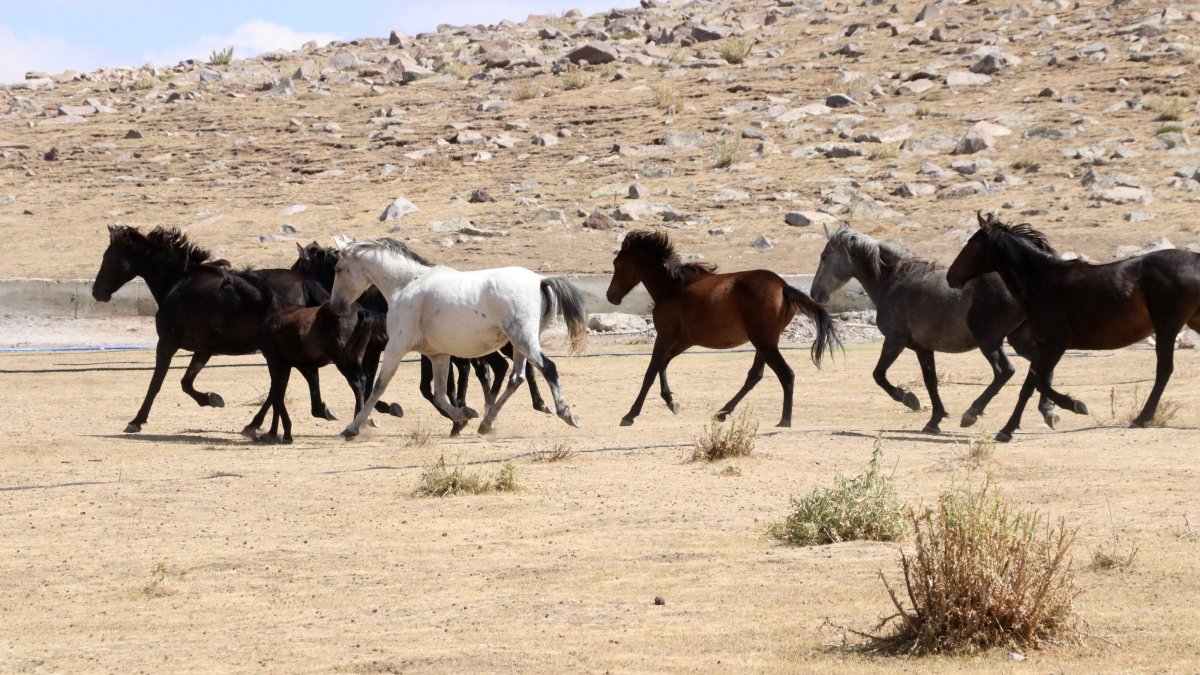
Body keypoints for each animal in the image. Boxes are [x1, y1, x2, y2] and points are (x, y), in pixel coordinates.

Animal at [91, 225, 336, 433]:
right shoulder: (204, 349)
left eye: (107, 257)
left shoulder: (167, 343)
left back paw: (260, 423)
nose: (96, 291)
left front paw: (136, 421)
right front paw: (211, 399)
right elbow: (186, 382)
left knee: (293, 379)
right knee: (294, 379)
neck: (178, 282)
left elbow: (156, 383)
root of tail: (303, 281)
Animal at [329, 237, 588, 437]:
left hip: (524, 340)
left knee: (548, 368)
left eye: (338, 269)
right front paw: (463, 417)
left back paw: (567, 414)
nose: (336, 306)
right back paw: (486, 422)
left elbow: (378, 387)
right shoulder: (438, 355)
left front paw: (352, 428)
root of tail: (540, 280)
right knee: (517, 378)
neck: (406, 285)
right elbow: (440, 395)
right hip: (519, 344)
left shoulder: (396, 348)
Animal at [606, 230, 839, 428]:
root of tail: (783, 286)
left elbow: (650, 372)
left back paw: (784, 421)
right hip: (764, 343)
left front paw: (630, 415)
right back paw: (723, 412)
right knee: (755, 375)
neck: (672, 288)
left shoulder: (664, 336)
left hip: (764, 342)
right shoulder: (682, 341)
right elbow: (663, 365)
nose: (610, 296)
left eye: (617, 263)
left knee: (786, 374)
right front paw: (672, 402)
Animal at [810, 223, 1057, 433]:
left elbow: (879, 375)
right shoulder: (923, 348)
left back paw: (972, 413)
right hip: (1020, 339)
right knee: (1043, 366)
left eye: (824, 256)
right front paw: (934, 420)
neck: (894, 281)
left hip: (988, 340)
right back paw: (1049, 412)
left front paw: (909, 399)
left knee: (1005, 371)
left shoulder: (895, 340)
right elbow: (931, 381)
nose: (814, 294)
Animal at [947, 212, 1200, 441]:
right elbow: (1029, 385)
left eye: (972, 243)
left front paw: (1075, 405)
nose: (950, 277)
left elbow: (1039, 381)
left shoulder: (1056, 344)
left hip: (1168, 326)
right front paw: (1007, 429)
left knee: (1164, 369)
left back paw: (1141, 418)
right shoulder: (1042, 345)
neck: (1041, 281)